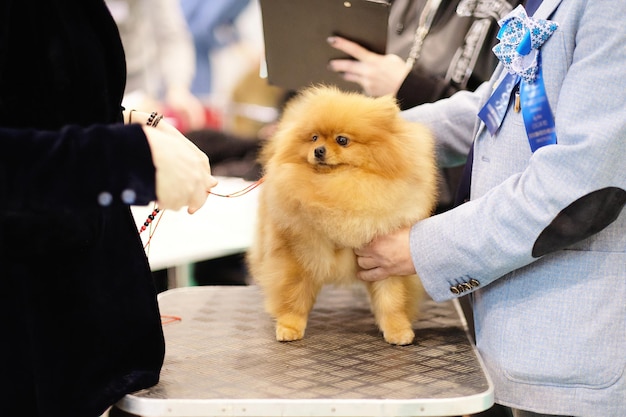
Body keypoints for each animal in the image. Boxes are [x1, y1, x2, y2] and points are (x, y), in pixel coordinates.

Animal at [246, 84, 436, 344]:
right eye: (314, 137)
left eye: (342, 140)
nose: (318, 150)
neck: (338, 188)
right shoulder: (299, 252)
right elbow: (294, 294)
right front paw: (290, 325)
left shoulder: (383, 258)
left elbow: (391, 299)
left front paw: (397, 329)